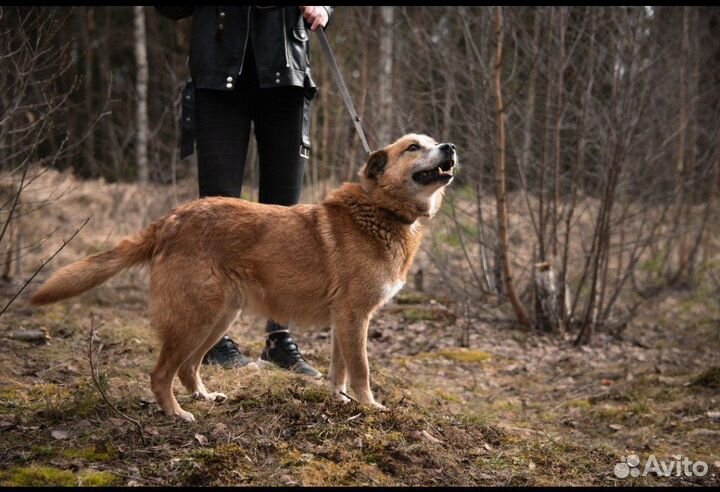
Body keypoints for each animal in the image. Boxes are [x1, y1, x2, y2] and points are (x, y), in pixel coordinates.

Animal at [29, 134, 456, 418]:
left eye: (432, 141)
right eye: (413, 147)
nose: (449, 147)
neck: (379, 209)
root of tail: (171, 220)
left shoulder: (344, 320)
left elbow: (339, 370)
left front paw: (340, 401)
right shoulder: (355, 316)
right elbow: (362, 369)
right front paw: (370, 406)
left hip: (218, 318)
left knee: (187, 367)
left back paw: (204, 397)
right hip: (195, 317)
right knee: (161, 372)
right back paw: (176, 414)